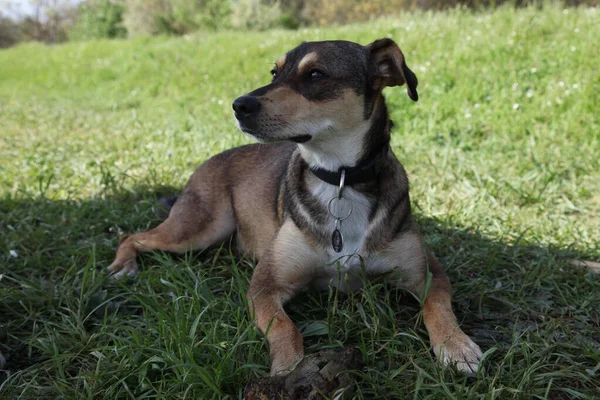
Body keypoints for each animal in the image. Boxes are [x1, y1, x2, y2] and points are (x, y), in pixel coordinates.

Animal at [108, 37, 482, 376]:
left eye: (315, 74)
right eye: (275, 72)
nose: (238, 105)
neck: (340, 180)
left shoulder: (428, 273)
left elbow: (439, 308)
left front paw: (456, 345)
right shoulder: (265, 286)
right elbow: (285, 328)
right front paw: (288, 367)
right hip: (198, 228)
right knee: (132, 236)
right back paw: (123, 266)